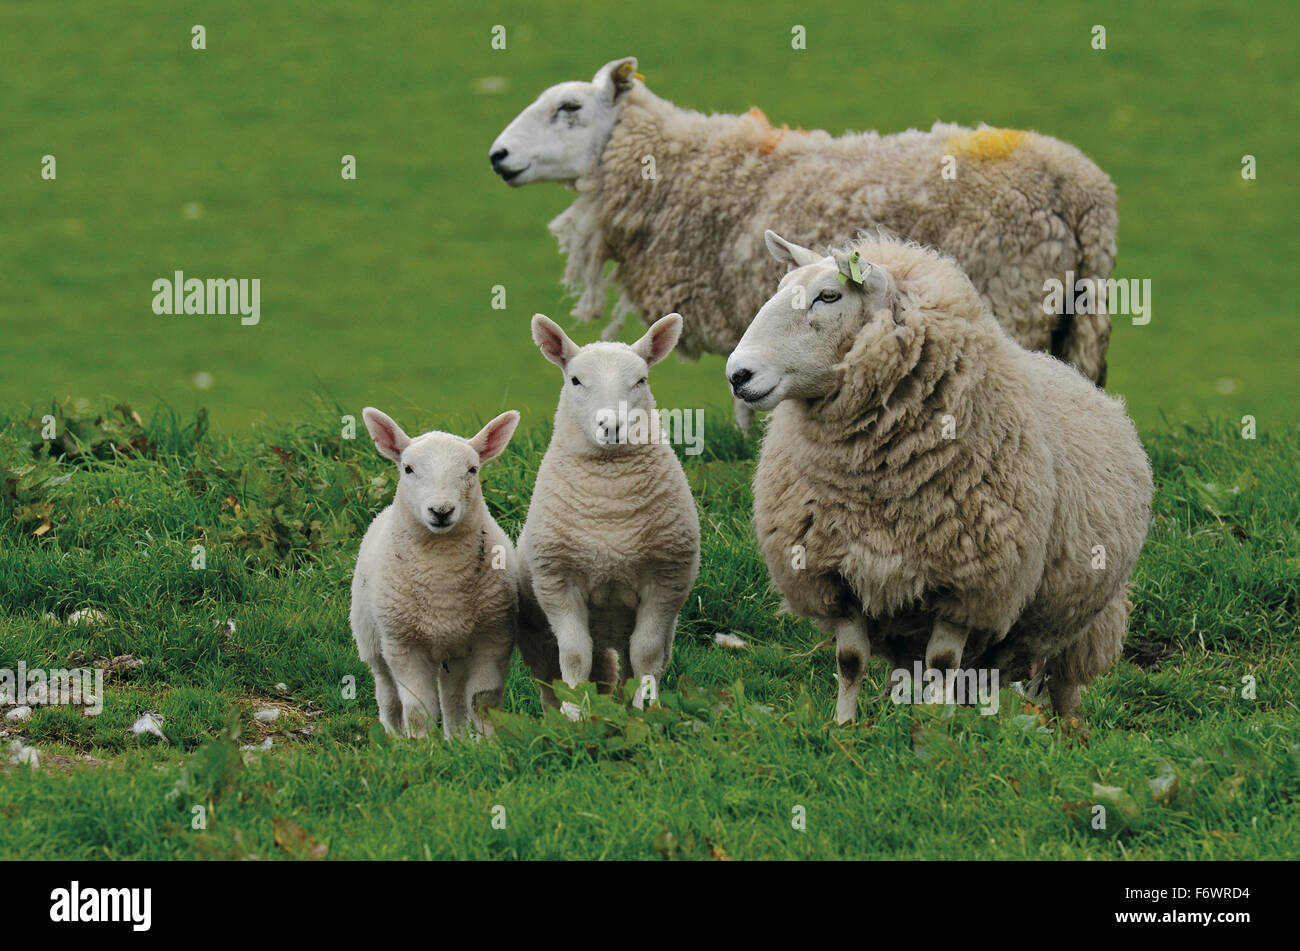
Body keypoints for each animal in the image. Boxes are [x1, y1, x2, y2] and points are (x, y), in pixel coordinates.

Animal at [356, 405, 522, 737]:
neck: (442, 577)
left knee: (453, 700)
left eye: (472, 469)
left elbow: (482, 701)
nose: (441, 511)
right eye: (408, 469)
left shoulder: (493, 637)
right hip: (370, 639)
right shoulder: (403, 645)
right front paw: (421, 744)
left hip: (453, 652)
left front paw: (487, 743)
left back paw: (455, 738)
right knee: (386, 693)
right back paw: (392, 736)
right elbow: (418, 711)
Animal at [488, 54, 1118, 426]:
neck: (685, 170)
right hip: (1074, 315)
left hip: (1017, 299)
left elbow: (748, 396)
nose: (498, 156)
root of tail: (1085, 188)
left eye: (569, 108)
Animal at [514, 311, 702, 711]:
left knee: (624, 666)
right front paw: (574, 714)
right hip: (537, 634)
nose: (611, 426)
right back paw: (559, 711)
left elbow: (646, 654)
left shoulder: (666, 582)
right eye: (575, 380)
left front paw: (646, 709)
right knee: (553, 676)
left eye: (641, 380)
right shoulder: (557, 583)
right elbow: (573, 656)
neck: (609, 506)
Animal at [728, 229, 1154, 722]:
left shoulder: (967, 586)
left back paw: (1071, 732)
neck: (876, 485)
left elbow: (942, 664)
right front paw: (845, 727)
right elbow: (850, 661)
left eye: (829, 296)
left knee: (1064, 685)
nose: (737, 375)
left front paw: (933, 725)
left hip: (1085, 619)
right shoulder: (835, 576)